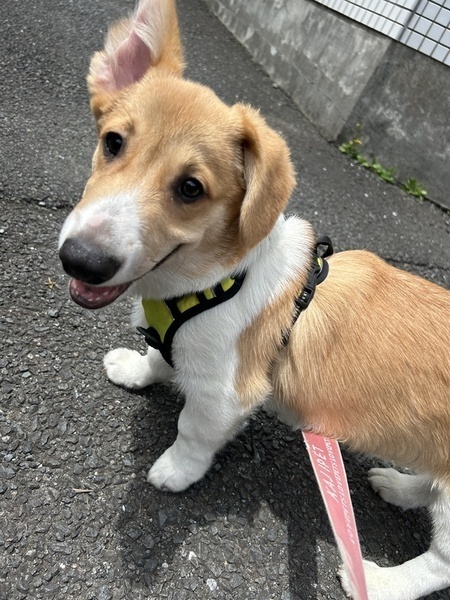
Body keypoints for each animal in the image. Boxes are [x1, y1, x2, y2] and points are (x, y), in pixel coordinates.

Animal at [58, 1, 450, 598]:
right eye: (113, 142)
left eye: (191, 188)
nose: (80, 260)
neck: (212, 282)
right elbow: (156, 359)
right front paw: (134, 367)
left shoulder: (225, 394)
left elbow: (192, 431)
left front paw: (175, 471)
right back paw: (396, 487)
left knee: (442, 560)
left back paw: (380, 582)